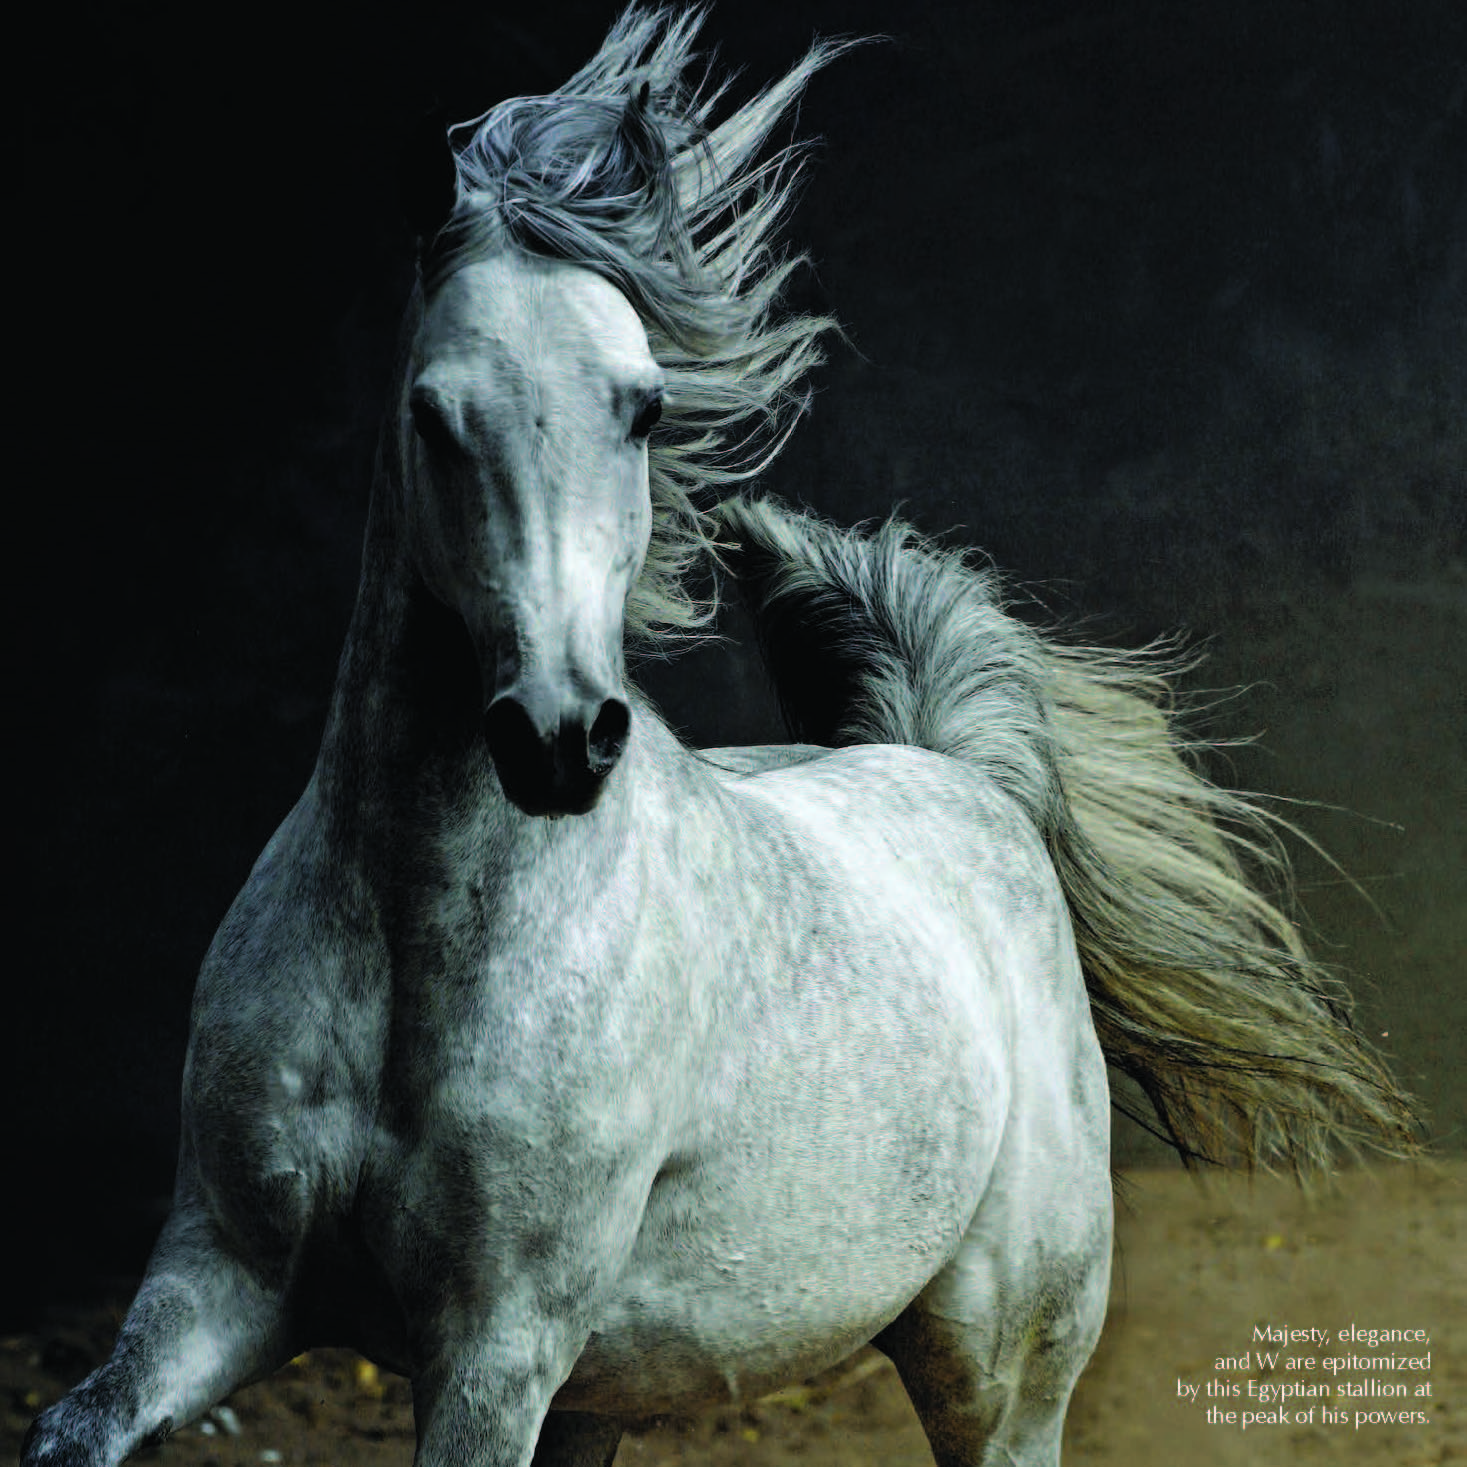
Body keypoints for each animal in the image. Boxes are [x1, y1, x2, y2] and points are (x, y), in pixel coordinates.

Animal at [24, 9, 1418, 1466]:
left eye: (642, 407)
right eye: (430, 410)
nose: (558, 737)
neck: (410, 941)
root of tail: (958, 774)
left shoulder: (493, 1349)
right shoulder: (224, 1275)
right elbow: (75, 1425)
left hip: (996, 1370)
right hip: (599, 1391)